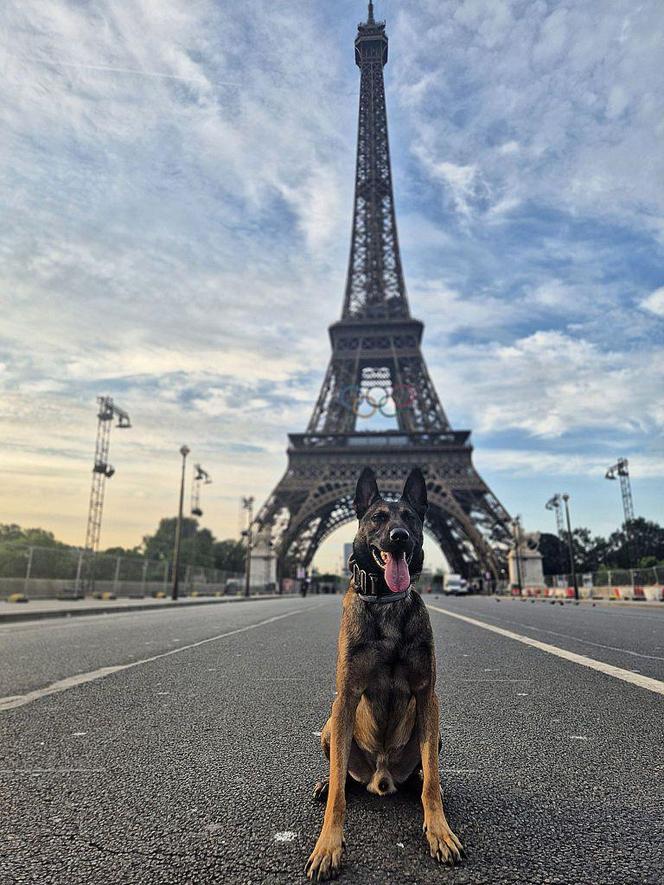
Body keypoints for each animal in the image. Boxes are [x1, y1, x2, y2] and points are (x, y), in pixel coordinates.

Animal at [306, 466, 462, 880]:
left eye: (410, 517)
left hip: (432, 732)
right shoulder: (345, 698)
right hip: (330, 726)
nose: (399, 537)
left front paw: (439, 832)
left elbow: (432, 783)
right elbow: (339, 797)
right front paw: (328, 846)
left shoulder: (427, 695)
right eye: (378, 518)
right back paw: (326, 784)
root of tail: (381, 779)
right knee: (343, 777)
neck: (387, 604)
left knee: (423, 775)